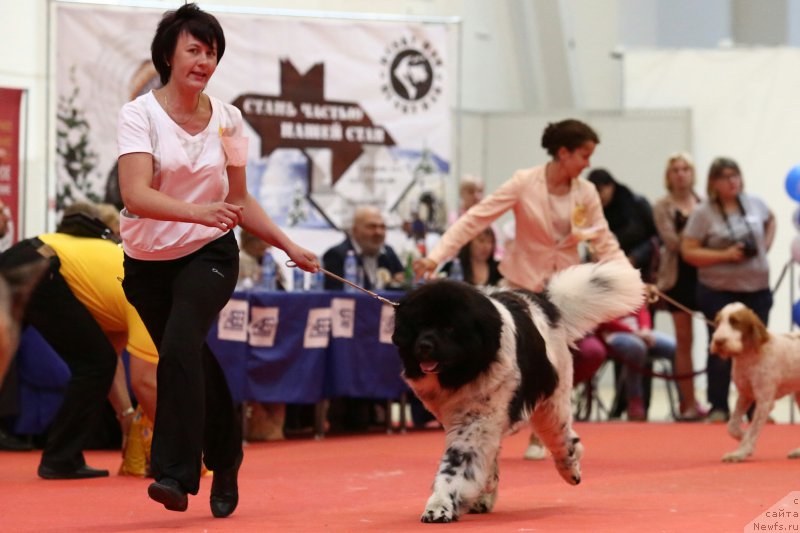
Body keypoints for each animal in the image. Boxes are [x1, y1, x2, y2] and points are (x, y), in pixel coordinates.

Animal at [390, 260, 648, 520]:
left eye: (450, 327)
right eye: (419, 325)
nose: (424, 345)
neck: (466, 370)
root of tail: (546, 304)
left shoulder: (475, 423)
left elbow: (456, 467)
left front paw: (440, 504)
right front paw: (457, 499)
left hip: (551, 404)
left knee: (562, 439)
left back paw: (571, 470)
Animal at [708, 304, 800, 462]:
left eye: (735, 322)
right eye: (717, 322)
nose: (718, 341)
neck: (748, 355)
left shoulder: (765, 402)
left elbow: (753, 430)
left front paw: (741, 452)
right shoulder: (745, 395)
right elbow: (732, 426)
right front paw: (743, 439)